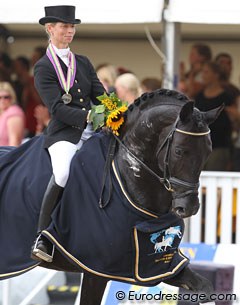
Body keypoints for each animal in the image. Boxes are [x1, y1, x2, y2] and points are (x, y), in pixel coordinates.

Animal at [0, 89, 221, 302]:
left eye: (209, 150)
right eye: (179, 151)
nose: (189, 206)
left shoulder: (155, 267)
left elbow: (206, 288)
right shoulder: (96, 269)